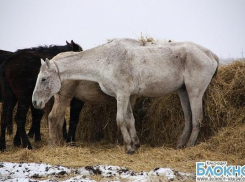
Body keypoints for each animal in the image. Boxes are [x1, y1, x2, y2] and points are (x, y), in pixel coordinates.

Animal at [32, 38, 218, 154]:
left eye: (43, 79)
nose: (35, 102)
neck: (105, 60)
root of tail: (209, 54)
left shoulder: (122, 94)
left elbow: (121, 120)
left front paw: (128, 147)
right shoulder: (126, 96)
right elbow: (130, 119)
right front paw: (134, 144)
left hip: (194, 91)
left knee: (197, 119)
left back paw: (190, 146)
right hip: (183, 91)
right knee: (188, 119)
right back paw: (180, 145)